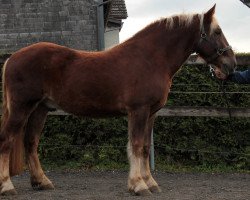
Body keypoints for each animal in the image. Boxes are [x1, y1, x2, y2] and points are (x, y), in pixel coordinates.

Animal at [0, 4, 236, 195]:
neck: (150, 58)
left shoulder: (151, 113)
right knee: (7, 140)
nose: (231, 64)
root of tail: (12, 58)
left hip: (40, 109)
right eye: (217, 31)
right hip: (21, 108)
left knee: (31, 142)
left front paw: (150, 183)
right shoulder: (138, 110)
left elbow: (144, 148)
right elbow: (136, 145)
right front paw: (138, 185)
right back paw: (7, 186)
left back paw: (42, 182)